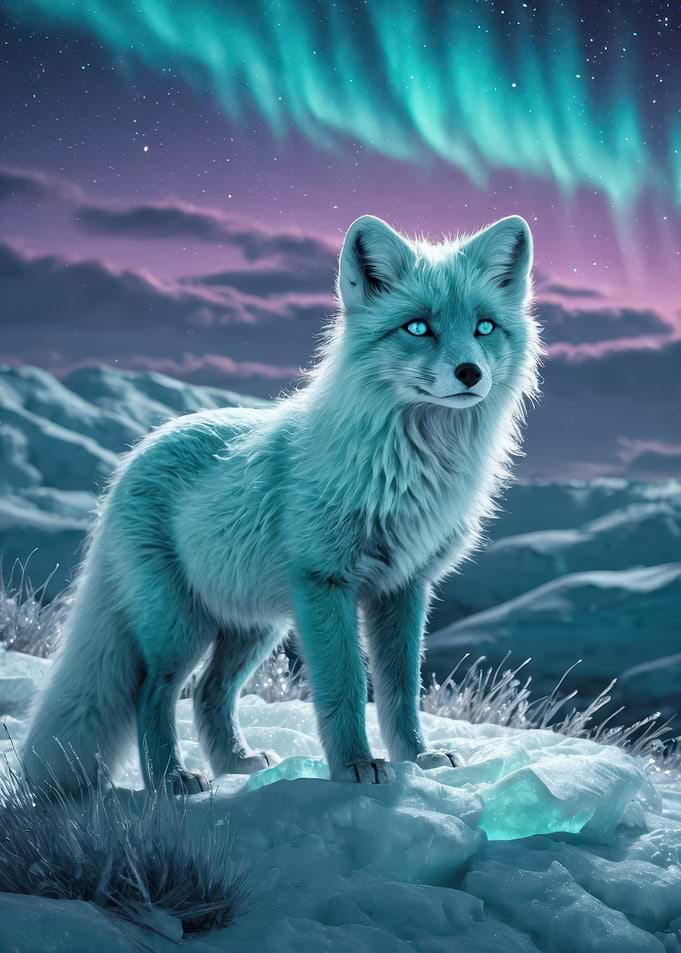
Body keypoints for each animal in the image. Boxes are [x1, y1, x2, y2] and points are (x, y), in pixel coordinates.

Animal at [22, 214, 540, 793]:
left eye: (485, 328)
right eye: (417, 328)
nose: (470, 372)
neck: (408, 472)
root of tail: (137, 451)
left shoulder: (404, 586)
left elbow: (401, 692)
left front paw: (419, 761)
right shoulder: (324, 581)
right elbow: (343, 685)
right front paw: (356, 767)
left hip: (254, 626)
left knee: (210, 692)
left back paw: (237, 765)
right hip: (181, 627)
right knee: (152, 690)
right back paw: (172, 781)